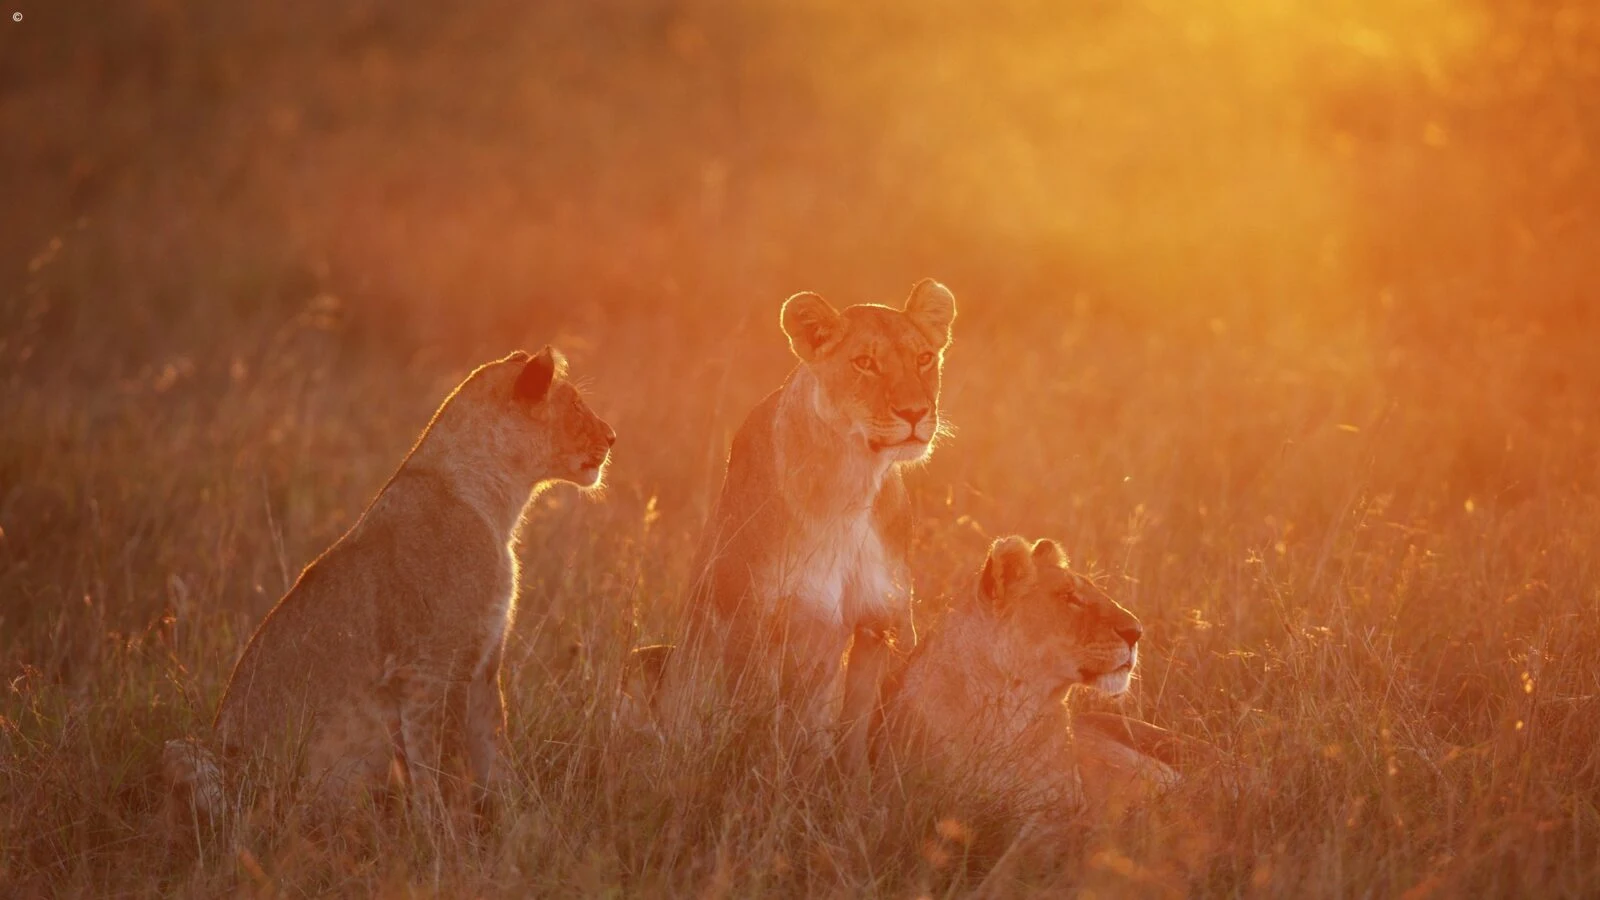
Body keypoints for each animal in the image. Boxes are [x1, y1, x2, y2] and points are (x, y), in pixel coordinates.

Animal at [164, 347, 615, 841]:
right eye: (576, 405)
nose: (613, 437)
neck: (497, 503)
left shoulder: (481, 667)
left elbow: (496, 758)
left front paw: (524, 825)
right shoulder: (430, 670)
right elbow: (444, 766)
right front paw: (451, 840)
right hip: (194, 756)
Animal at [661, 278, 956, 763]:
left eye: (924, 358)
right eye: (864, 363)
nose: (915, 413)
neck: (852, 481)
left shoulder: (881, 623)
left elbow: (855, 732)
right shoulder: (748, 621)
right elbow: (749, 726)